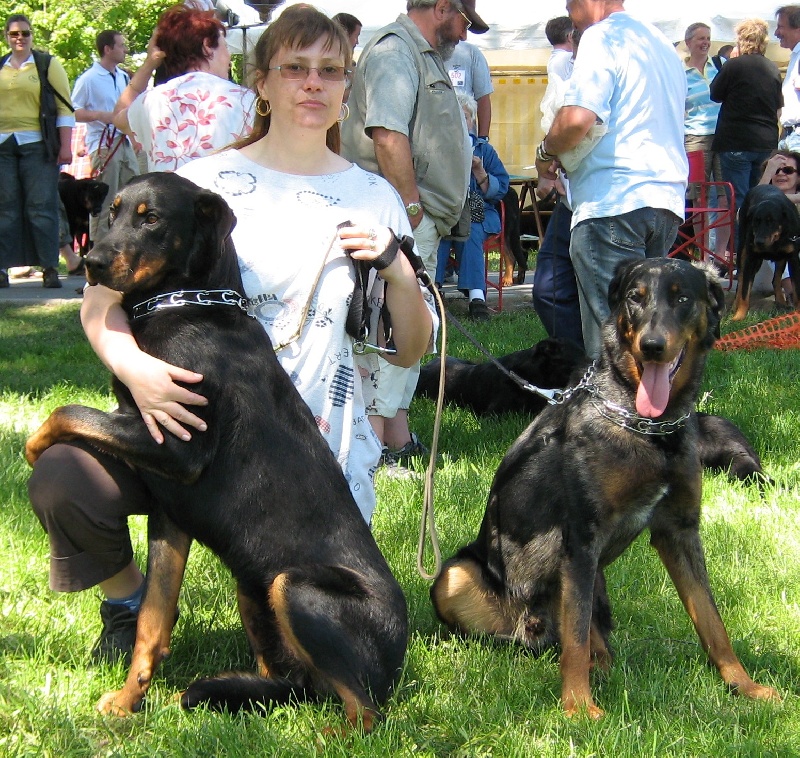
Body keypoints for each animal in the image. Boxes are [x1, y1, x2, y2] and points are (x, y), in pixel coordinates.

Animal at [25, 173, 407, 730]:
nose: (92, 264)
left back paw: (327, 734)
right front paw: (127, 702)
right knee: (288, 683)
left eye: (152, 219)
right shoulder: (170, 511)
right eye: (111, 211)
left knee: (365, 710)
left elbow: (69, 410)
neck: (189, 302)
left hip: (293, 586)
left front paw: (32, 445)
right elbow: (152, 622)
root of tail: (399, 657)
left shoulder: (178, 445)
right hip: (252, 585)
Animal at [732, 184, 800, 320]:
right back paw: (735, 306)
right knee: (740, 280)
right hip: (743, 251)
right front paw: (740, 315)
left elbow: (796, 288)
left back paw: (781, 303)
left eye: (771, 221)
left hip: (781, 259)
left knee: (776, 279)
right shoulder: (751, 259)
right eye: (755, 222)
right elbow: (745, 291)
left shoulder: (793, 259)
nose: (759, 242)